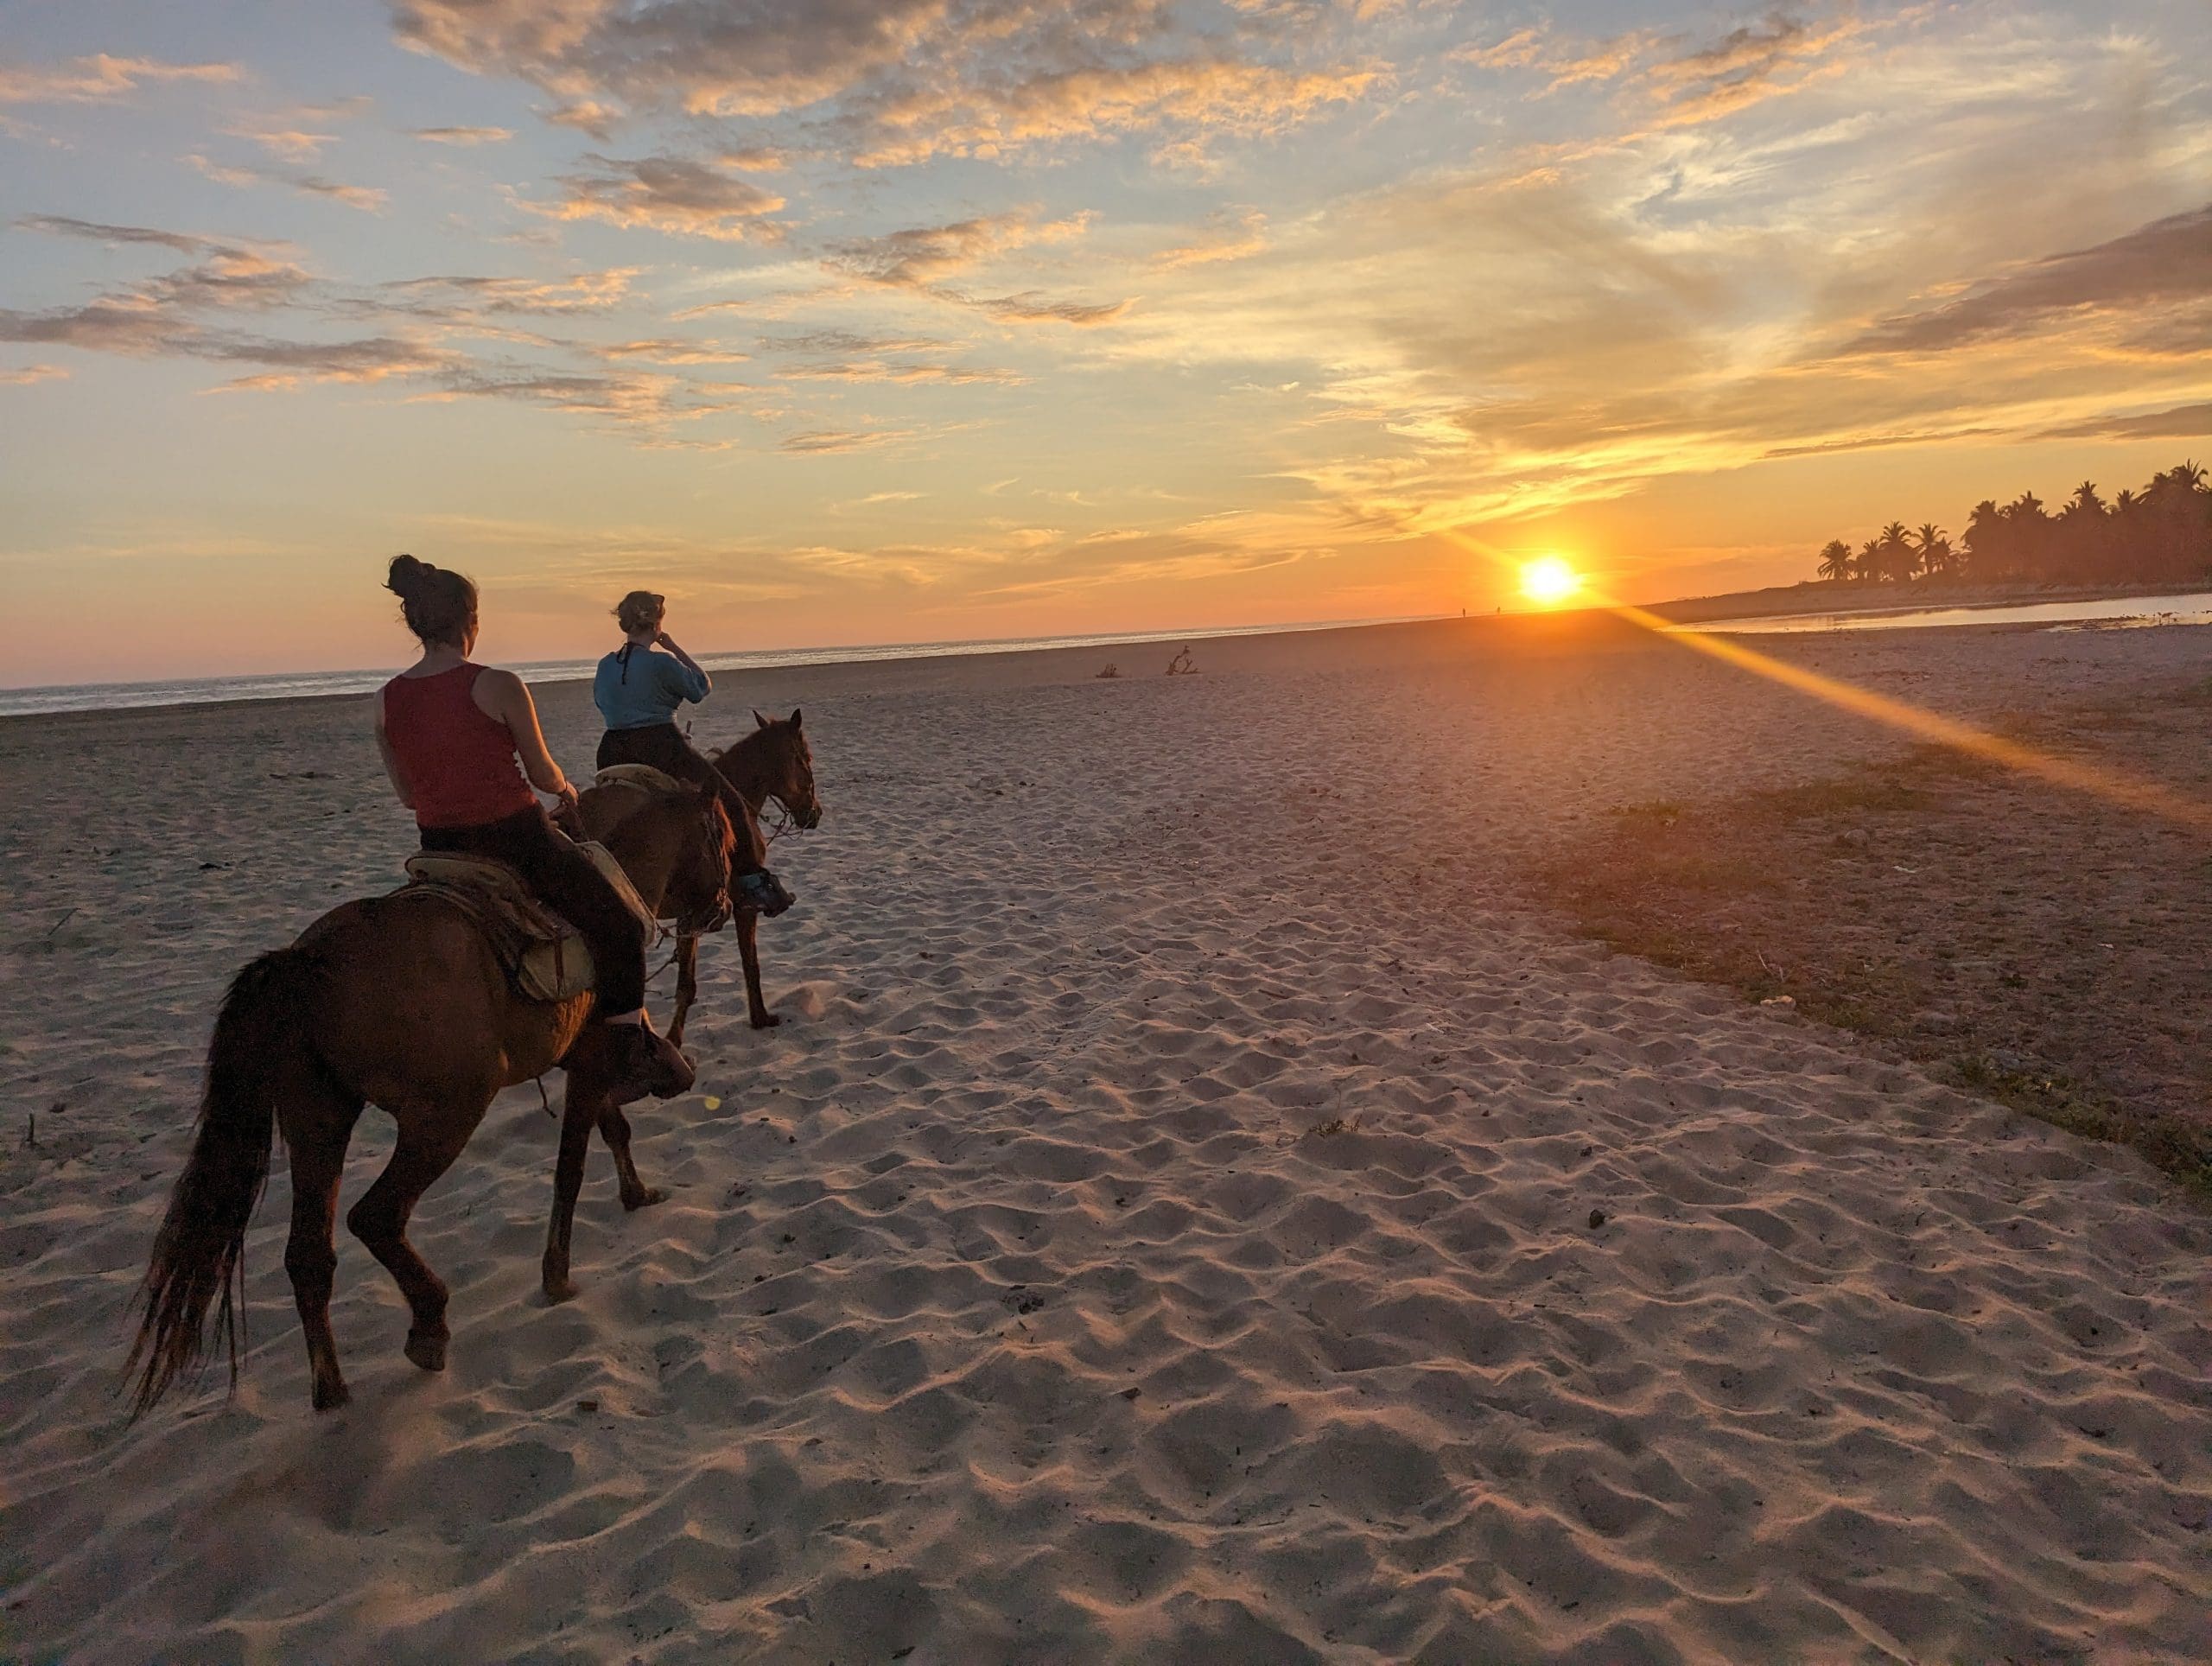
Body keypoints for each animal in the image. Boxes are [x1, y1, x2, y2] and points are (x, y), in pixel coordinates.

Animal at [129, 783, 734, 1415]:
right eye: (721, 837)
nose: (721, 907)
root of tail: (304, 963)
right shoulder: (590, 1062)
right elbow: (571, 1168)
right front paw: (558, 1276)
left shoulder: (578, 1059)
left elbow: (613, 1129)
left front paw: (636, 1194)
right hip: (445, 1116)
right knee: (375, 1216)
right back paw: (428, 1325)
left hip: (318, 1118)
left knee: (308, 1255)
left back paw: (333, 1392)